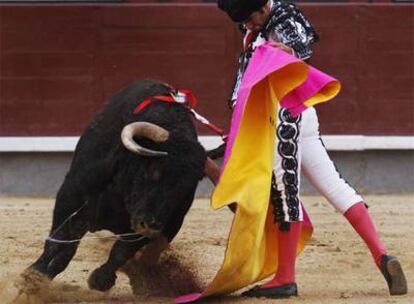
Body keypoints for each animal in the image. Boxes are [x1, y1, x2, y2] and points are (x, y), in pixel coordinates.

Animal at [22, 78, 217, 292]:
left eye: (186, 188)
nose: (150, 225)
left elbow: (121, 251)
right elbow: (59, 239)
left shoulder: (167, 223)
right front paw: (34, 275)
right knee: (67, 248)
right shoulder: (71, 193)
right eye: (154, 170)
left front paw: (101, 279)